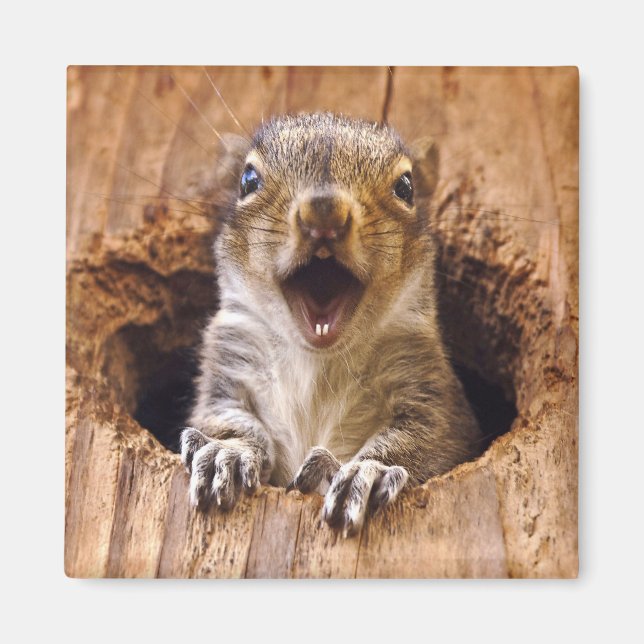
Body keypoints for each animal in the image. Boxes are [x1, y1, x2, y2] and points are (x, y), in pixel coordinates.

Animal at [180, 112, 481, 536]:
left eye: (406, 187)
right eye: (248, 180)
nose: (324, 211)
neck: (318, 359)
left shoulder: (428, 386)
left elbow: (425, 438)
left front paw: (368, 472)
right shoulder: (228, 362)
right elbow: (224, 417)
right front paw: (227, 452)